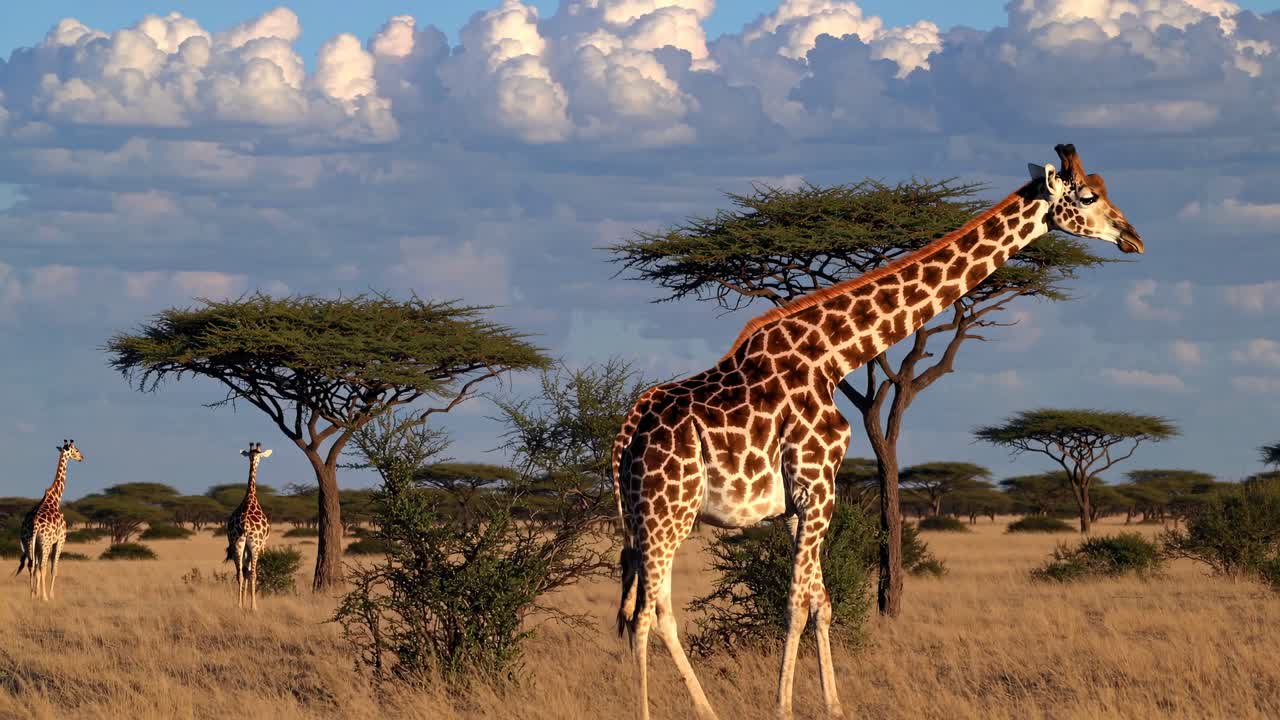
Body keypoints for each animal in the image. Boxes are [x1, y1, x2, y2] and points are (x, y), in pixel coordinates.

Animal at [16, 439, 84, 602]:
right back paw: (45, 597)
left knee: (31, 565)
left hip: (29, 543)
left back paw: (32, 595)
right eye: (76, 450)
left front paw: (36, 593)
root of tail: (34, 526)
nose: (82, 457)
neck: (56, 497)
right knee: (41, 567)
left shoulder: (38, 546)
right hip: (45, 544)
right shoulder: (60, 540)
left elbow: (38, 568)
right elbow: (54, 569)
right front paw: (51, 595)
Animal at [226, 441, 272, 611]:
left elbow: (244, 572)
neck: (250, 497)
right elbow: (251, 572)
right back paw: (254, 607)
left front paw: (243, 602)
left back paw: (239, 605)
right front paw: (250, 604)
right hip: (254, 545)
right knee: (252, 573)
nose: (256, 460)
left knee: (240, 573)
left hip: (237, 544)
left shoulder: (243, 546)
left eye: (257, 454)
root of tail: (245, 525)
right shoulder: (259, 545)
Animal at [612, 144, 1143, 720]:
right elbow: (795, 603)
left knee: (654, 609)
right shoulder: (817, 487)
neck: (832, 356)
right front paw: (784, 708)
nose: (1133, 237)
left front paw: (834, 705)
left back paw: (704, 710)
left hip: (649, 519)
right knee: (646, 615)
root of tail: (626, 433)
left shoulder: (802, 501)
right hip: (666, 513)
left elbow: (819, 601)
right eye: (1087, 196)